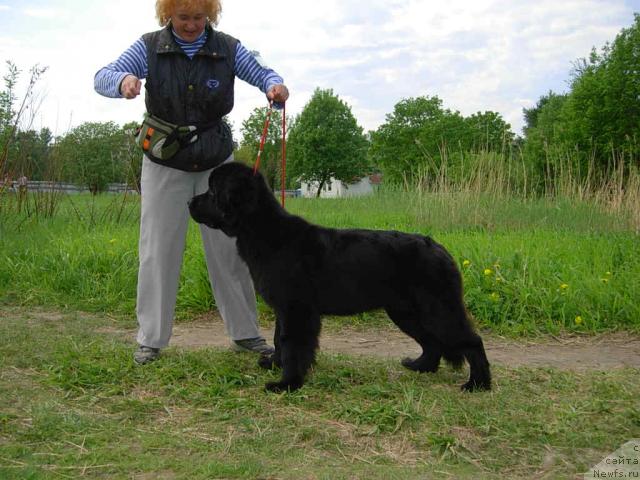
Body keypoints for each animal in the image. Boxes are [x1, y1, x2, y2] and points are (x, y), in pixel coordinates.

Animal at [189, 163, 490, 392]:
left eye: (212, 191)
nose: (190, 202)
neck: (264, 231)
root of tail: (441, 249)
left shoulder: (297, 309)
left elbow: (292, 344)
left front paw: (287, 383)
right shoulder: (284, 309)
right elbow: (279, 339)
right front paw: (274, 363)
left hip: (438, 308)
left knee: (471, 341)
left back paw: (477, 384)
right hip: (405, 312)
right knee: (432, 342)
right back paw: (420, 367)